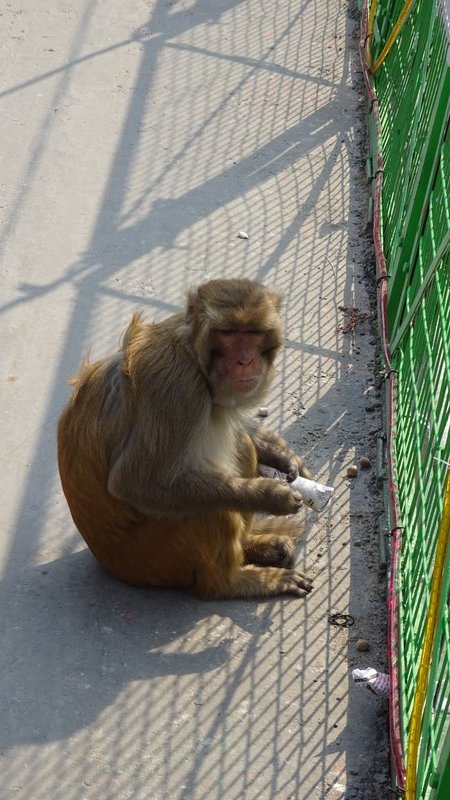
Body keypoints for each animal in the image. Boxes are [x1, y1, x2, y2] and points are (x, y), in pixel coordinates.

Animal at [57, 278, 312, 596]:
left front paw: (280, 452)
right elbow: (135, 481)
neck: (194, 355)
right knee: (209, 507)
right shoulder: (176, 387)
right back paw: (232, 582)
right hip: (154, 558)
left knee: (241, 445)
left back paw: (254, 546)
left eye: (253, 333)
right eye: (227, 333)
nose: (244, 361)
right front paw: (269, 495)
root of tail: (107, 561)